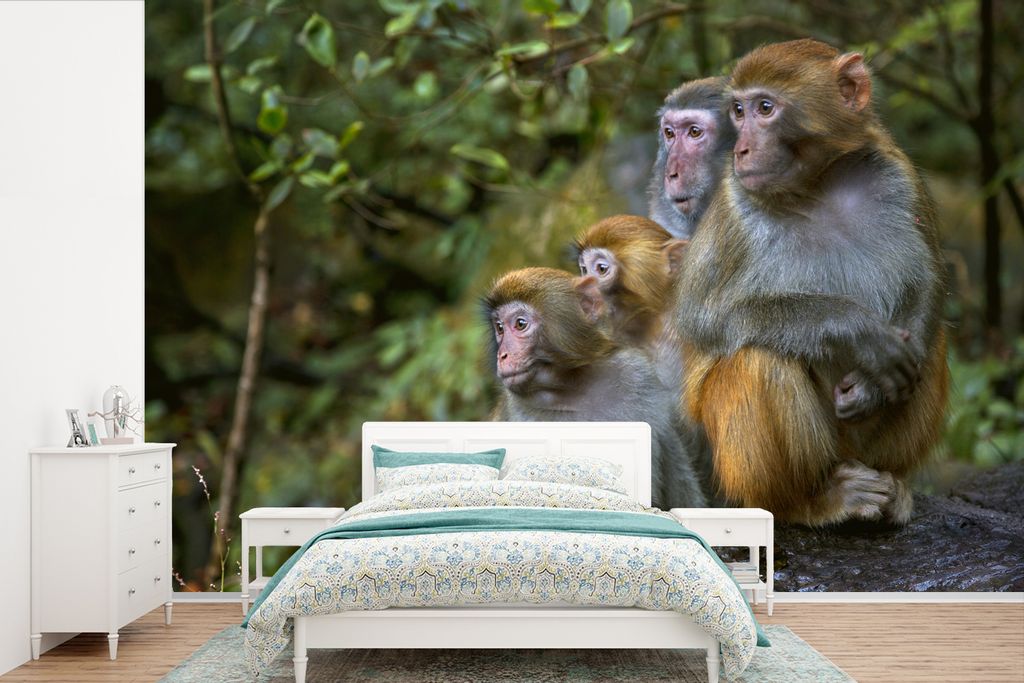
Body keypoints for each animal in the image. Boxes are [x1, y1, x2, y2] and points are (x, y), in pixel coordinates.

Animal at [675, 39, 949, 527]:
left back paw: (894, 482)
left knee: (929, 347)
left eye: (765, 108)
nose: (741, 150)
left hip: (864, 445)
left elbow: (927, 281)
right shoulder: (734, 206)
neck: (818, 185)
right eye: (738, 111)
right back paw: (810, 501)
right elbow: (706, 319)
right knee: (759, 356)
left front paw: (873, 383)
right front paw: (854, 329)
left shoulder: (898, 174)